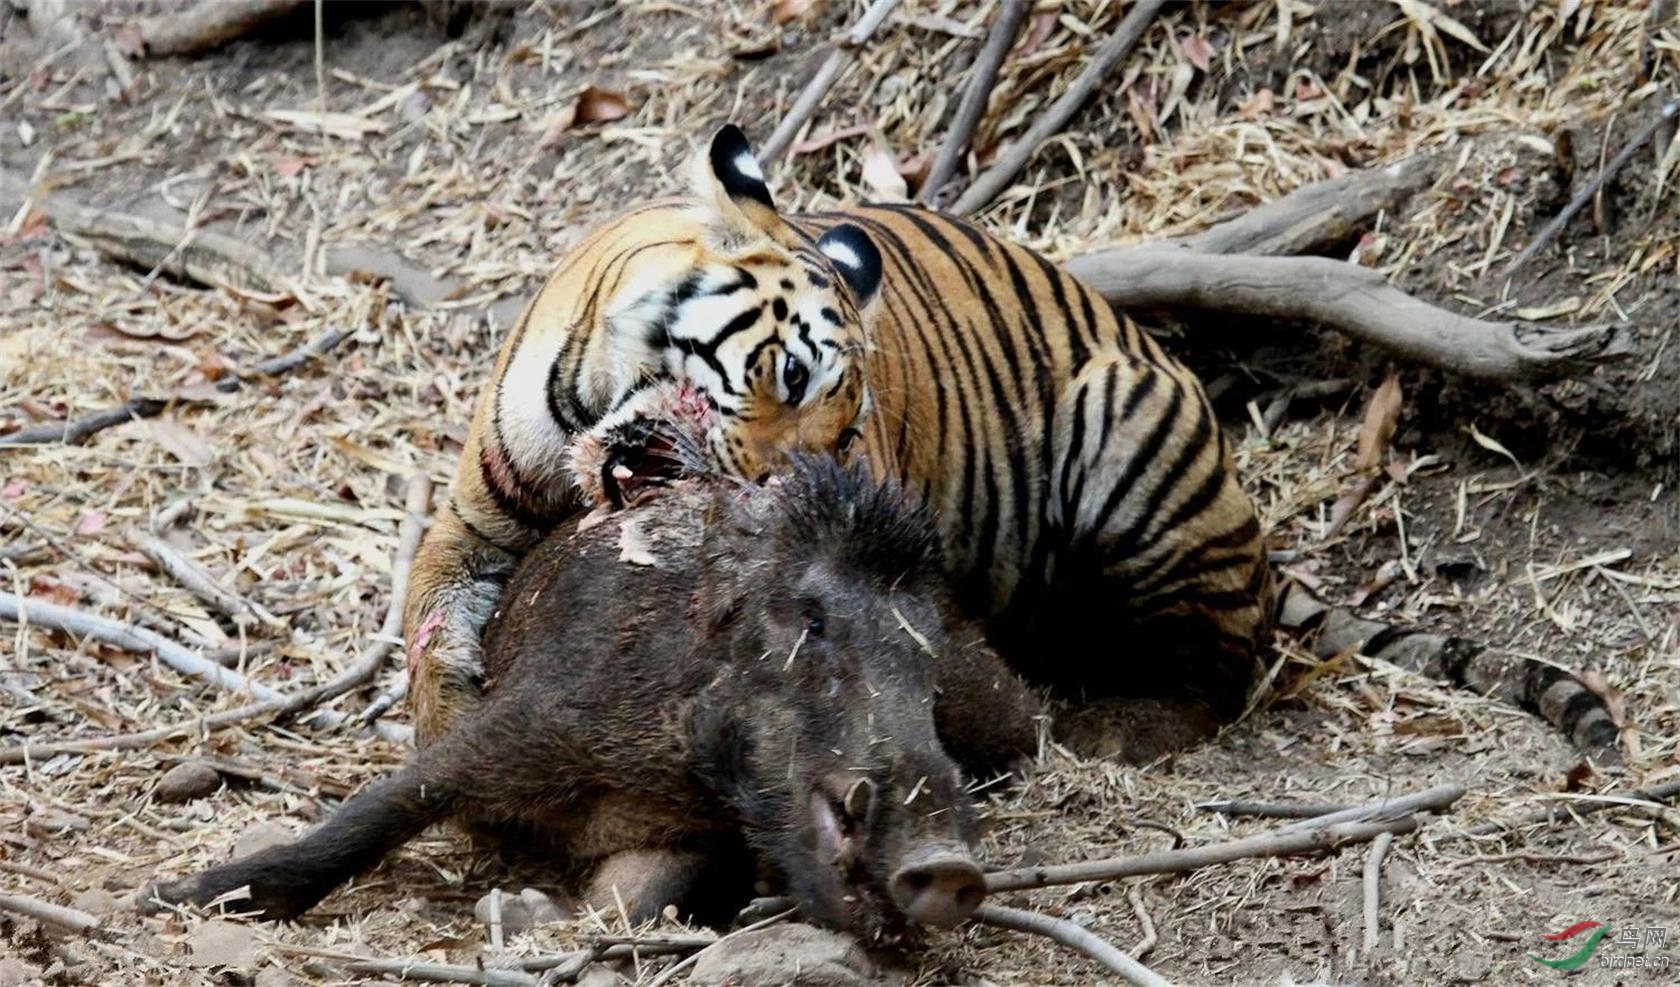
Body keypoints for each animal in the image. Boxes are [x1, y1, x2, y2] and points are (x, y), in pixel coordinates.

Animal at [399, 125, 1619, 762]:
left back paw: (1112, 726)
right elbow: (427, 636)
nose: (783, 490)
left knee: (1225, 670)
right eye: (788, 376)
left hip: (1125, 427)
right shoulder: (465, 529)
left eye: (848, 429)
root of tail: (1259, 540)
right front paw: (447, 738)